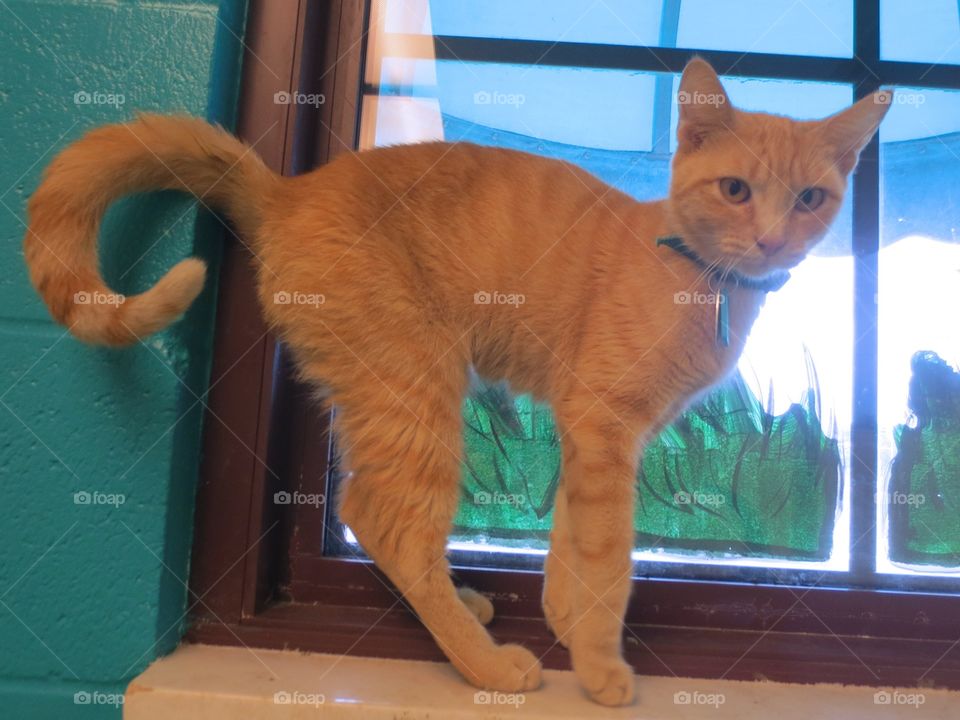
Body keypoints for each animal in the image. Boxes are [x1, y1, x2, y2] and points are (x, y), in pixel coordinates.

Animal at [24, 60, 892, 704]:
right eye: (736, 190)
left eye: (810, 198)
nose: (773, 239)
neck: (701, 280)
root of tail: (289, 191)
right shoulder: (606, 423)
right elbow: (610, 558)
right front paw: (602, 668)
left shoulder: (588, 433)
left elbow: (570, 544)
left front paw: (566, 622)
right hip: (417, 388)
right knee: (387, 523)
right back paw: (485, 661)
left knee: (378, 520)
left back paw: (467, 612)